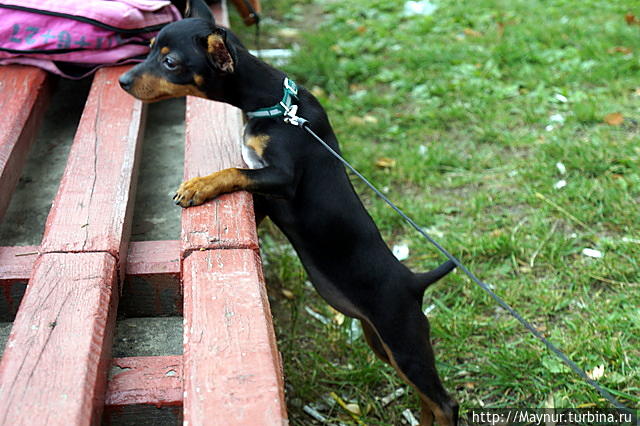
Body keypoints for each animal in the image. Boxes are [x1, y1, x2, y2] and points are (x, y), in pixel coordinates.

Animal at [120, 1, 458, 424]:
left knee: (444, 401)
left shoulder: (282, 179)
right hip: (379, 341)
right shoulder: (267, 193)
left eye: (170, 62)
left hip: (404, 341)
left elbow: (234, 170)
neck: (277, 106)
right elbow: (245, 179)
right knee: (426, 399)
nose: (123, 81)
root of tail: (415, 282)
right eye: (150, 49)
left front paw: (197, 186)